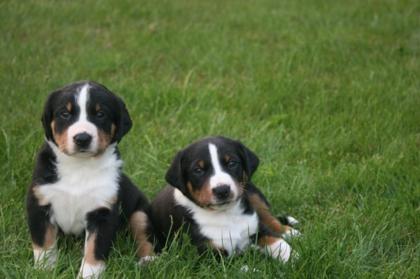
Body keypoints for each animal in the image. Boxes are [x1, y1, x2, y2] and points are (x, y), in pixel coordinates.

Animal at [26, 81, 154, 278]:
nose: (82, 138)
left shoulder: (102, 211)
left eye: (100, 114)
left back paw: (148, 260)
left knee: (144, 236)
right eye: (65, 114)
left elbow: (94, 250)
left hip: (140, 212)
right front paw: (45, 270)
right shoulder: (40, 203)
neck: (79, 166)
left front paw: (88, 275)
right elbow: (44, 243)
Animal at [150, 137, 298, 264]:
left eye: (232, 163)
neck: (226, 214)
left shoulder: (255, 227)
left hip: (250, 191)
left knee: (268, 216)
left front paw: (294, 258)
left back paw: (290, 232)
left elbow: (278, 242)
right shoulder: (210, 255)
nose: (222, 190)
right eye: (198, 170)